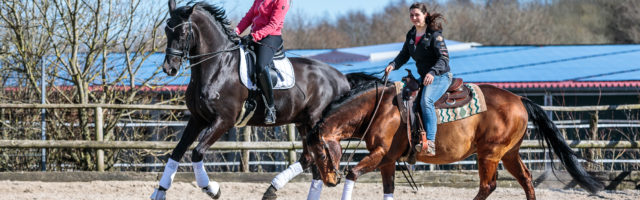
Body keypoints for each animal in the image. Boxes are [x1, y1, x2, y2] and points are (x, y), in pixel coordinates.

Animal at [151, 0, 350, 199]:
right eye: (167, 31)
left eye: (183, 32)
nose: (169, 69)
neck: (218, 65)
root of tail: (341, 78)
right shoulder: (197, 119)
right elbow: (177, 152)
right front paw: (160, 191)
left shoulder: (224, 121)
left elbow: (197, 152)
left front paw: (211, 188)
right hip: (303, 123)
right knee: (309, 158)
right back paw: (272, 189)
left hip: (315, 122)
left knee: (319, 159)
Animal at [308, 74, 604, 200]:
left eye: (321, 152)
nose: (329, 180)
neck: (380, 108)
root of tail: (520, 98)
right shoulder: (388, 162)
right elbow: (388, 190)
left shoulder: (380, 154)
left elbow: (353, 173)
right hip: (509, 154)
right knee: (526, 180)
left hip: (489, 155)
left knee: (488, 186)